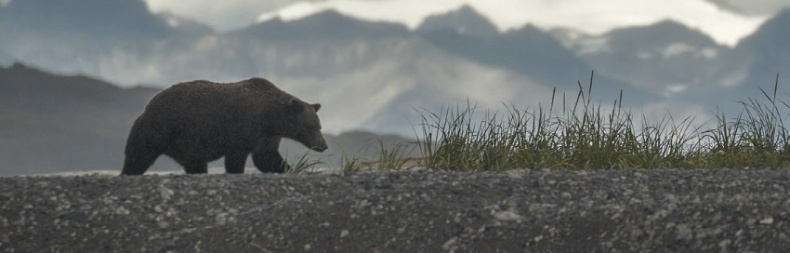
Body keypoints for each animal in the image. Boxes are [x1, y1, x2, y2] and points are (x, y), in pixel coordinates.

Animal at [120, 78, 328, 175]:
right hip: (163, 130)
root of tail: (147, 107)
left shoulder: (265, 136)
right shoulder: (244, 128)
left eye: (319, 126)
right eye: (311, 126)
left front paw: (289, 167)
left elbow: (266, 157)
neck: (271, 118)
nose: (323, 145)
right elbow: (240, 158)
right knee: (139, 155)